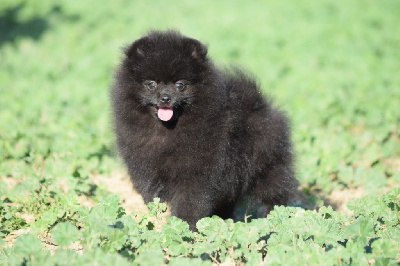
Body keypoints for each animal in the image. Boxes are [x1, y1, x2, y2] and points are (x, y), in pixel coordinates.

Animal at [110, 29, 296, 231]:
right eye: (151, 84)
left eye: (180, 85)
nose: (165, 98)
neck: (167, 131)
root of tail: (259, 103)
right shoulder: (144, 166)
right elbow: (152, 196)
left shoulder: (197, 170)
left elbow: (190, 201)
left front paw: (185, 227)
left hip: (268, 164)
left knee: (276, 192)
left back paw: (276, 219)